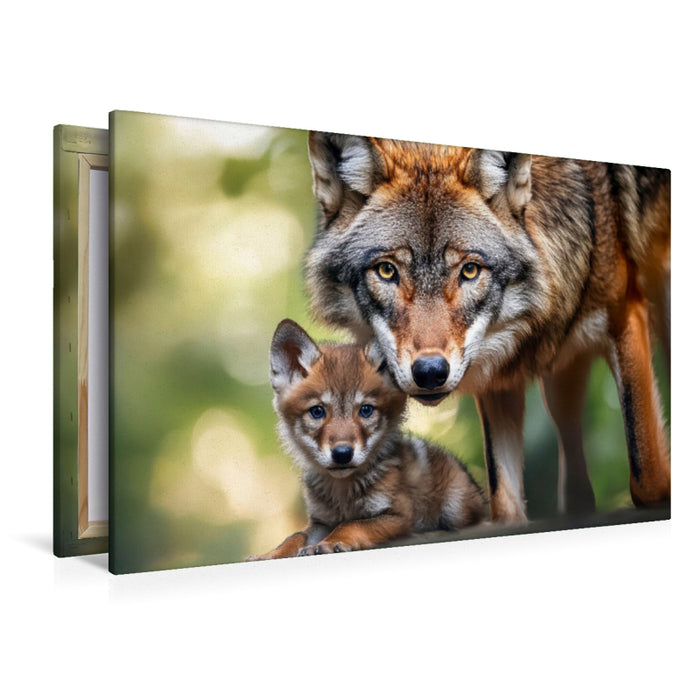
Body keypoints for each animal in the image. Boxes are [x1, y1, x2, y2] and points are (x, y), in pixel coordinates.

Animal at [246, 319, 485, 560]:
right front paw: (271, 555)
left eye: (366, 410)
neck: (342, 494)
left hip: (455, 504)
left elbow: (352, 524)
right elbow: (295, 537)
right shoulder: (320, 521)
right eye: (317, 411)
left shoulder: (397, 515)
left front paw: (331, 542)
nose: (342, 454)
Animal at [304, 132, 670, 523]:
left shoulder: (624, 316)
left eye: (469, 270)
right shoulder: (498, 381)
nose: (430, 372)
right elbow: (506, 506)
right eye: (387, 270)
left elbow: (648, 481)